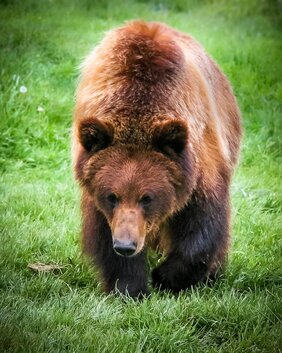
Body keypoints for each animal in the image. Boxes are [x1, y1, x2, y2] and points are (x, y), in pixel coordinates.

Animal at [71, 20, 241, 296]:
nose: (126, 245)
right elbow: (103, 232)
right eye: (112, 196)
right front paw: (129, 287)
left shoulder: (198, 157)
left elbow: (204, 222)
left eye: (147, 197)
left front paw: (166, 277)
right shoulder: (94, 185)